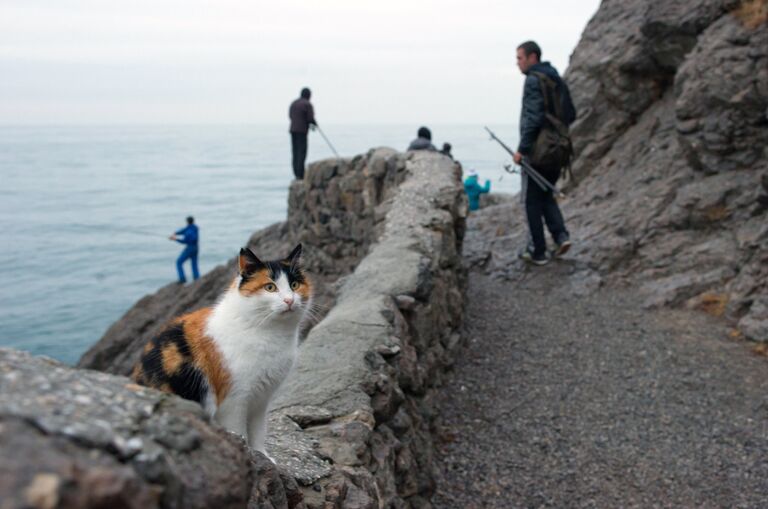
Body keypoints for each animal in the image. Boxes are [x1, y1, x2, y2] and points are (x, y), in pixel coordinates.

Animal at [132, 244, 312, 454]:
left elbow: (258, 431)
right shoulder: (233, 400)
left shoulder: (262, 400)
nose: (289, 300)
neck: (269, 333)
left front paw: (262, 455)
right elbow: (239, 432)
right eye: (270, 287)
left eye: (294, 285)